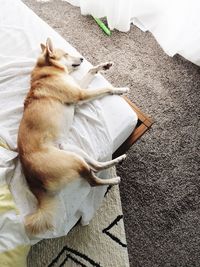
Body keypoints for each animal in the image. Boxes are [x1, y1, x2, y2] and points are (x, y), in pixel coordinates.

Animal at [18, 37, 129, 234]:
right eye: (67, 54)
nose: (82, 58)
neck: (49, 71)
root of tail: (32, 180)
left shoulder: (79, 90)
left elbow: (91, 72)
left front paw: (103, 66)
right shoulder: (80, 94)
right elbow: (105, 89)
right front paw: (119, 89)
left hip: (73, 151)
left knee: (95, 166)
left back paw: (117, 160)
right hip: (73, 160)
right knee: (92, 180)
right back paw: (113, 180)